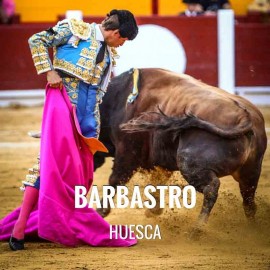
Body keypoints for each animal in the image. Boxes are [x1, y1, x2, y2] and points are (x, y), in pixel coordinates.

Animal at [94, 68, 266, 228]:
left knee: (211, 188)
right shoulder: (159, 161)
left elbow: (115, 180)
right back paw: (252, 229)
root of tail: (245, 117)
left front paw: (100, 211)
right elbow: (157, 182)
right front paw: (153, 210)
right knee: (249, 201)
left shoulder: (128, 153)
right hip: (251, 172)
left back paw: (197, 229)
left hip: (189, 164)